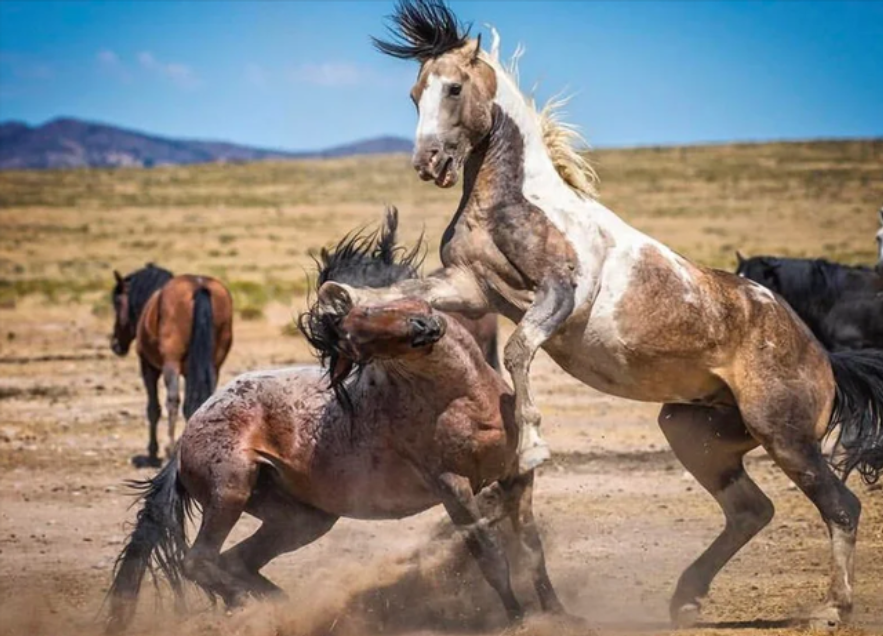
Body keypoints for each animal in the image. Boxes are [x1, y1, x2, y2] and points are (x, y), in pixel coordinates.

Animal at [110, 264, 235, 468]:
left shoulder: (148, 367)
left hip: (171, 364)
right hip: (214, 364)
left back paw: (169, 450)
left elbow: (154, 408)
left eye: (117, 303)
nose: (115, 344)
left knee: (172, 400)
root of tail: (199, 286)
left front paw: (153, 451)